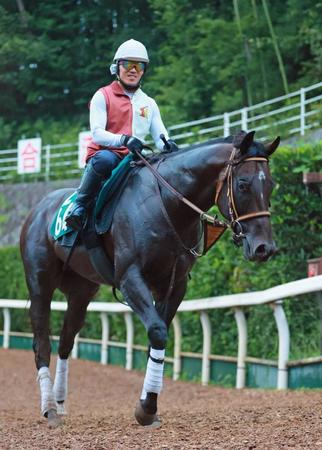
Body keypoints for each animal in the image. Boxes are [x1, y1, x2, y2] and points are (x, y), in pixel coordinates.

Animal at [19, 131, 280, 428]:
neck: (167, 203)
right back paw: (49, 409)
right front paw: (147, 407)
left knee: (66, 340)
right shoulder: (130, 278)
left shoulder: (174, 284)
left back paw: (60, 402)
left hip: (82, 291)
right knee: (42, 342)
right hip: (40, 284)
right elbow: (157, 332)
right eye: (243, 184)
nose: (264, 248)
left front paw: (148, 405)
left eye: (270, 184)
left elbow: (157, 339)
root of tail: (38, 209)